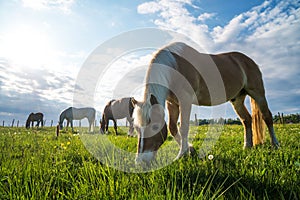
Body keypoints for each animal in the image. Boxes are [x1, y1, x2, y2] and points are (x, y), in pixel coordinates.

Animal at [132, 41, 280, 164]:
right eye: (137, 128)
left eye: (155, 127)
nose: (140, 162)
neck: (174, 66)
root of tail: (249, 61)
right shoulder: (172, 104)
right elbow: (173, 128)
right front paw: (190, 150)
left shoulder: (185, 100)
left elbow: (183, 127)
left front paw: (181, 155)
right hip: (237, 99)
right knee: (246, 120)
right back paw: (247, 146)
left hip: (258, 93)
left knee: (267, 117)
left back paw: (276, 145)